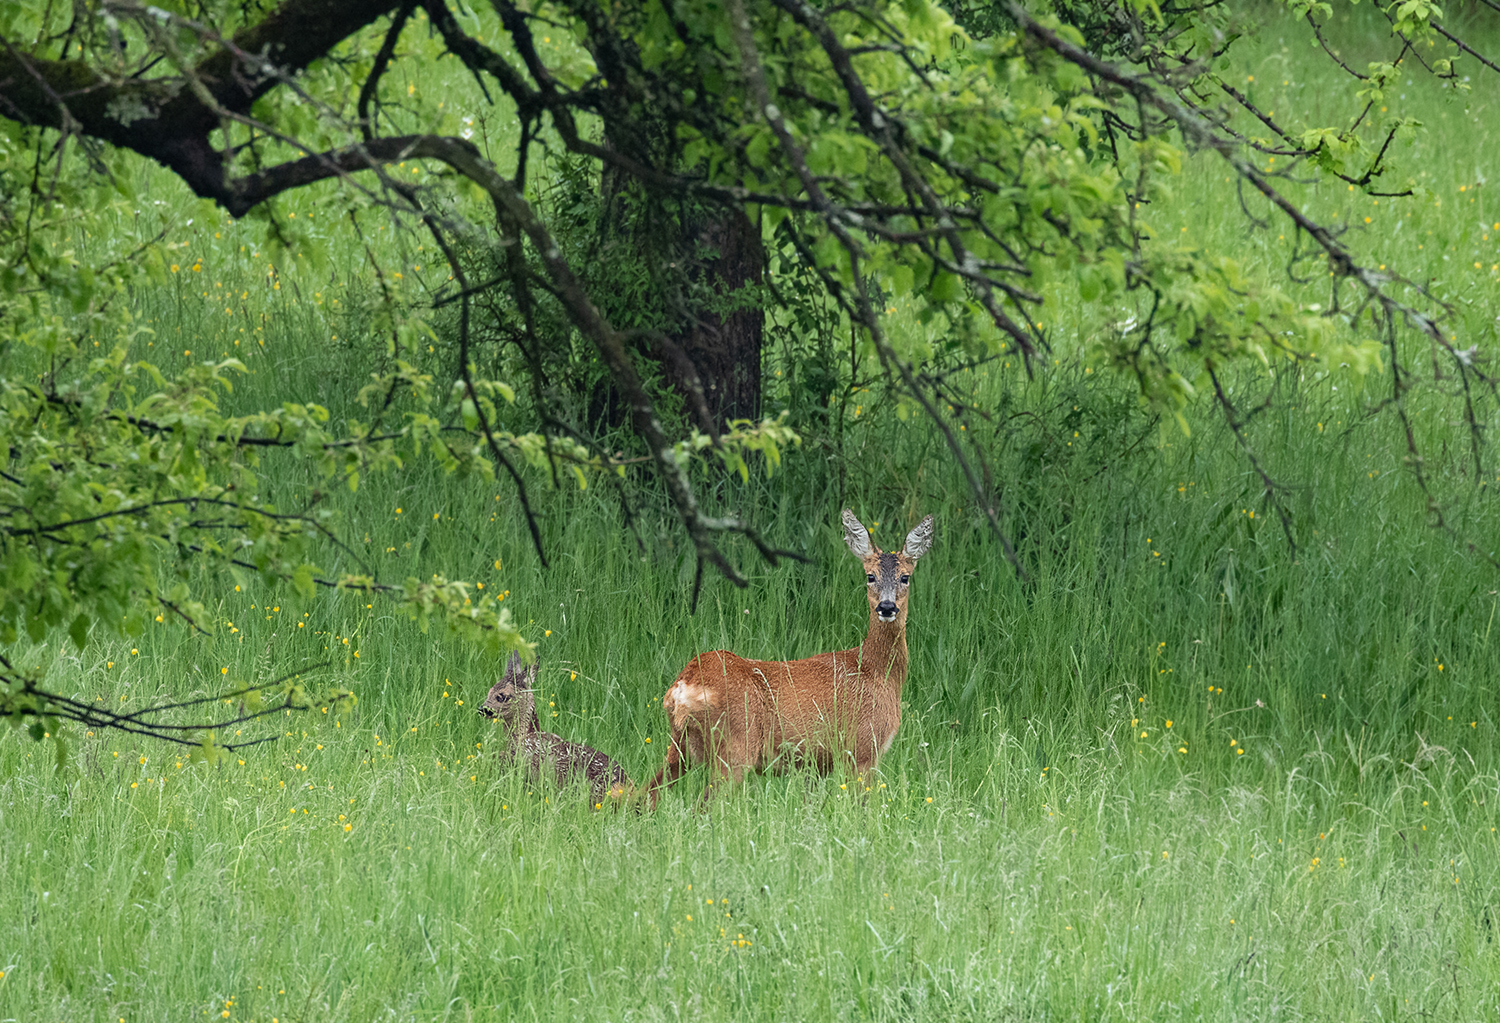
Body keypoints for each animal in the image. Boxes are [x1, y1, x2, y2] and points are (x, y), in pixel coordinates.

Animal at [648, 510, 936, 804]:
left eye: (905, 577)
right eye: (870, 576)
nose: (887, 607)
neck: (876, 671)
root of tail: (683, 685)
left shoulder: (817, 764)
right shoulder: (863, 748)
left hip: (680, 747)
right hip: (736, 745)